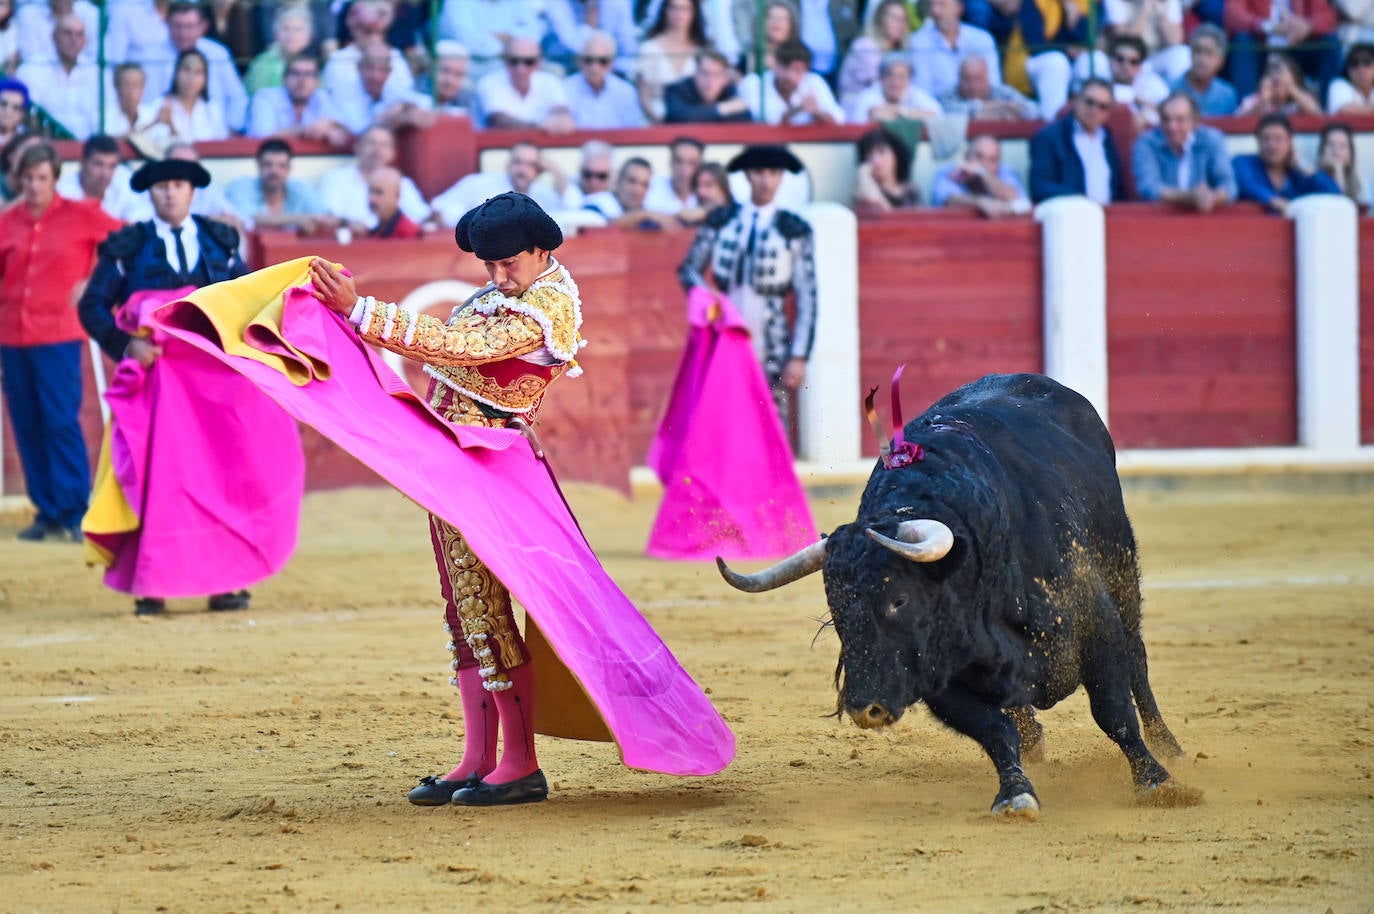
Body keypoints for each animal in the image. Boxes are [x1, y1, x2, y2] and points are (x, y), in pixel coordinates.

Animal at [719, 373, 1203, 813]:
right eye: (836, 610)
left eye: (898, 600)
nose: (863, 708)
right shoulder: (938, 676)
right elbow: (994, 731)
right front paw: (1015, 793)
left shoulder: (1094, 623)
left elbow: (1113, 711)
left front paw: (1157, 781)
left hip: (1121, 577)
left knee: (1137, 661)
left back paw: (1170, 747)